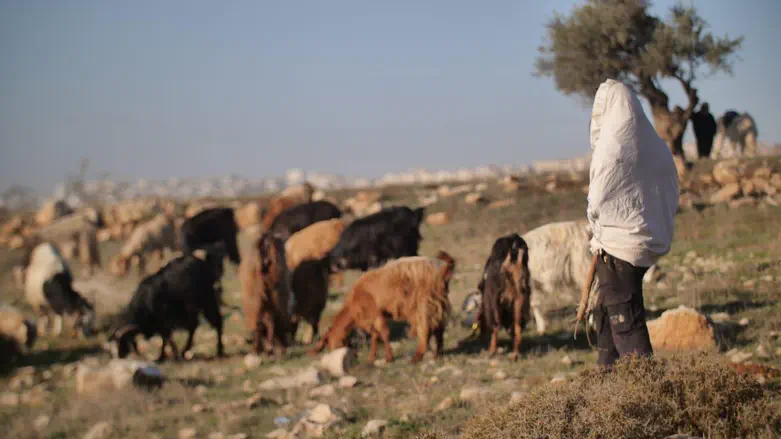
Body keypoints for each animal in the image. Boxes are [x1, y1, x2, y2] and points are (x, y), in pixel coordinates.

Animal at [312, 251, 454, 364]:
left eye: (329, 344)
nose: (336, 355)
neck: (352, 304)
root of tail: (440, 273)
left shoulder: (375, 313)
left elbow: (383, 334)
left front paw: (388, 358)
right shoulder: (373, 317)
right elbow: (375, 335)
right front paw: (371, 358)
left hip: (421, 304)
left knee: (425, 328)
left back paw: (417, 357)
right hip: (438, 303)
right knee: (439, 328)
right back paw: (437, 354)